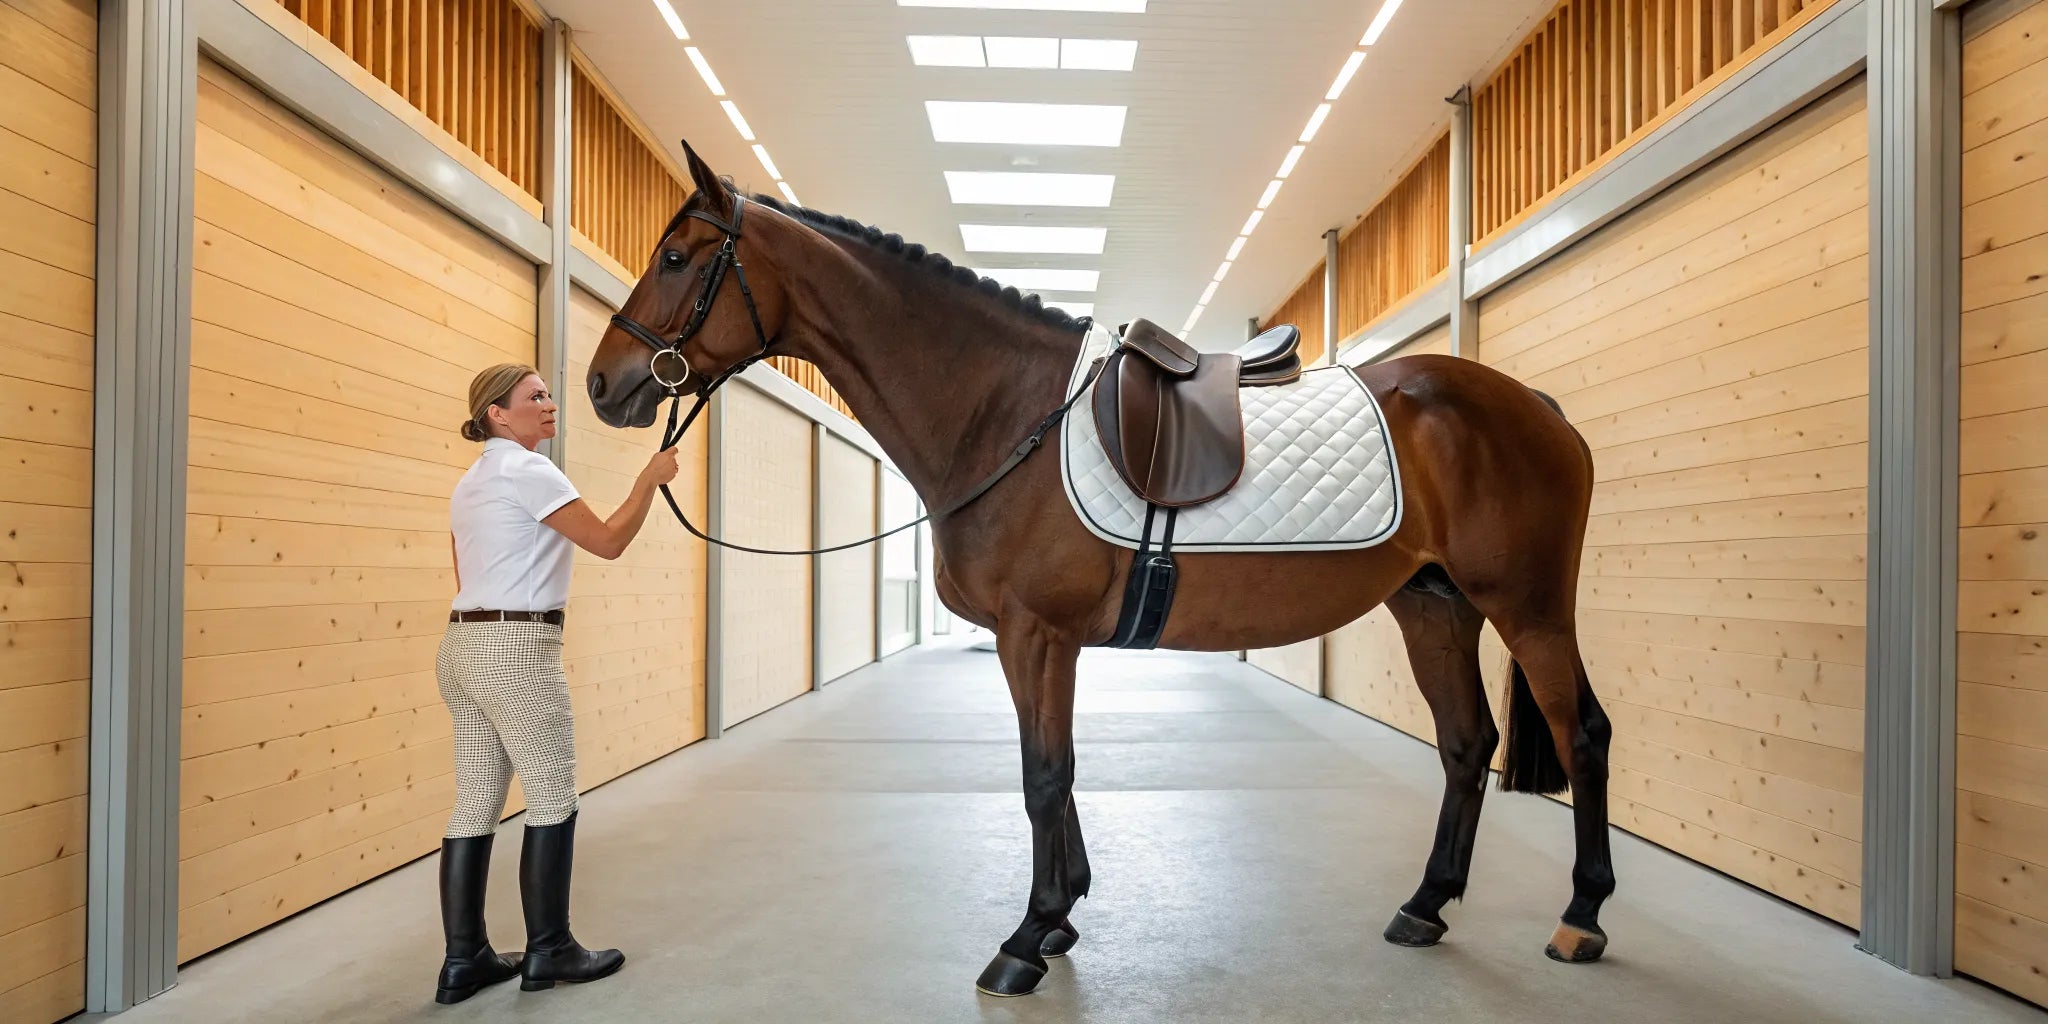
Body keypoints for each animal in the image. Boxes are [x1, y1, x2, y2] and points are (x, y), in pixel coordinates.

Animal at [584, 142, 1613, 997]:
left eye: (677, 257)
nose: (603, 383)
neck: (1005, 413)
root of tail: (1536, 406)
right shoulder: (1042, 641)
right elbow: (1056, 769)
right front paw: (1062, 917)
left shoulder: (1036, 633)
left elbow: (1044, 773)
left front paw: (1026, 938)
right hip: (1434, 607)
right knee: (1466, 744)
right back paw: (1425, 906)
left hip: (1526, 606)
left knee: (1583, 734)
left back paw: (1581, 918)